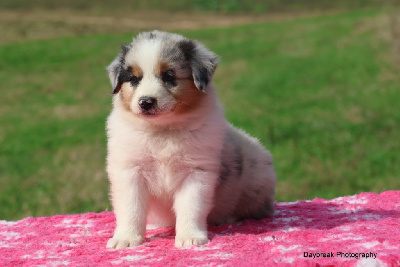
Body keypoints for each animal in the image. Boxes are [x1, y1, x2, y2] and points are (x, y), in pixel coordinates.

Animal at [104, 30, 276, 249]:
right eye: (134, 79)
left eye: (169, 76)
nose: (145, 102)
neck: (163, 130)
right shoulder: (130, 171)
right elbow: (131, 208)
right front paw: (126, 238)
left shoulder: (196, 172)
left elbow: (191, 206)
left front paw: (190, 237)